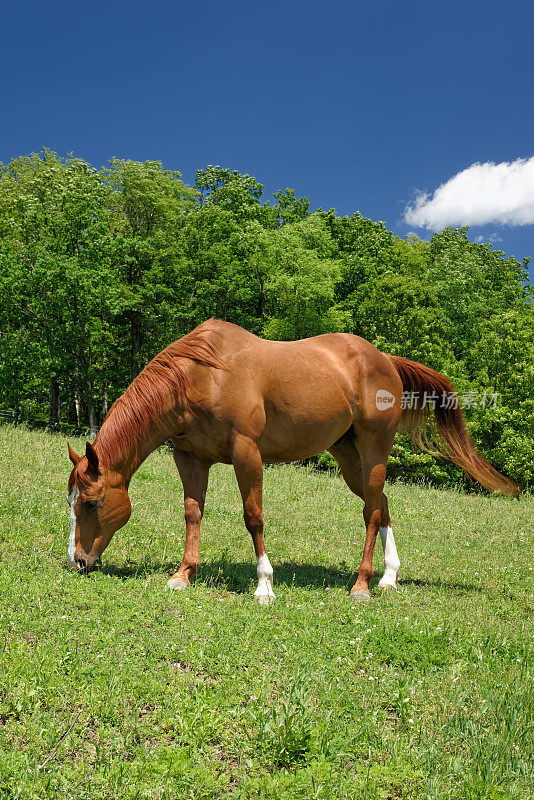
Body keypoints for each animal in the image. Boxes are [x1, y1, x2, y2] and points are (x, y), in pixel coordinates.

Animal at [66, 318, 520, 600]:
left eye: (91, 502)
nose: (78, 561)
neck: (204, 375)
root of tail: (385, 360)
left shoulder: (247, 453)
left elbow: (253, 517)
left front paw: (264, 585)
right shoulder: (190, 457)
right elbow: (193, 513)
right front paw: (183, 575)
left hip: (375, 448)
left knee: (372, 512)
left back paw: (362, 585)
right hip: (348, 456)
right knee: (382, 503)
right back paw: (389, 577)